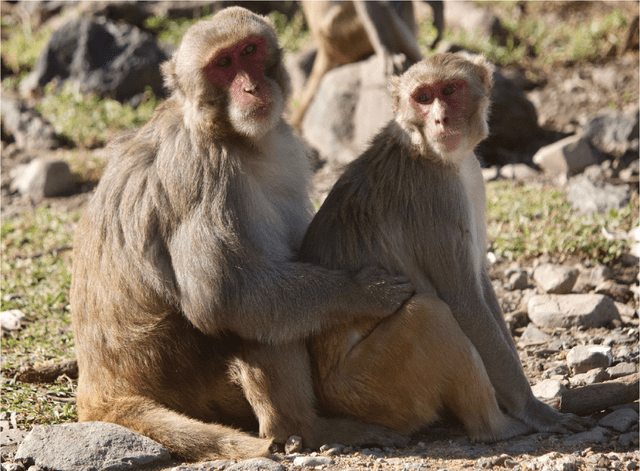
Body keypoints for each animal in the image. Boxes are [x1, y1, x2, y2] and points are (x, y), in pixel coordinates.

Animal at [71, 7, 410, 462]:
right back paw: (306, 427)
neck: (234, 137)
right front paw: (362, 292)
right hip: (181, 373)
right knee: (251, 316)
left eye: (249, 51)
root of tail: (99, 386)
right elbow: (223, 295)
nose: (250, 86)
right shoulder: (202, 173)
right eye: (222, 64)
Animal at [298, 53, 588, 440]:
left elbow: (480, 282)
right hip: (365, 388)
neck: (427, 152)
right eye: (423, 97)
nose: (440, 118)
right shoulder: (437, 196)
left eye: (449, 90)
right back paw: (495, 427)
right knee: (430, 314)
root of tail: (326, 398)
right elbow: (463, 300)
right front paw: (532, 409)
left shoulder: (472, 178)